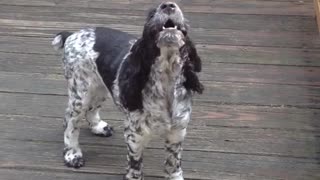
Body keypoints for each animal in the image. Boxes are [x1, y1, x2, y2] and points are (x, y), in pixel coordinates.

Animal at [52, 1, 202, 180]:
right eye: (151, 14)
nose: (168, 5)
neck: (166, 80)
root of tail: (72, 34)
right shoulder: (135, 135)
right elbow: (135, 166)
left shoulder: (177, 132)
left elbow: (173, 165)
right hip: (81, 91)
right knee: (71, 121)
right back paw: (72, 154)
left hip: (100, 87)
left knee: (91, 109)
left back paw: (99, 127)